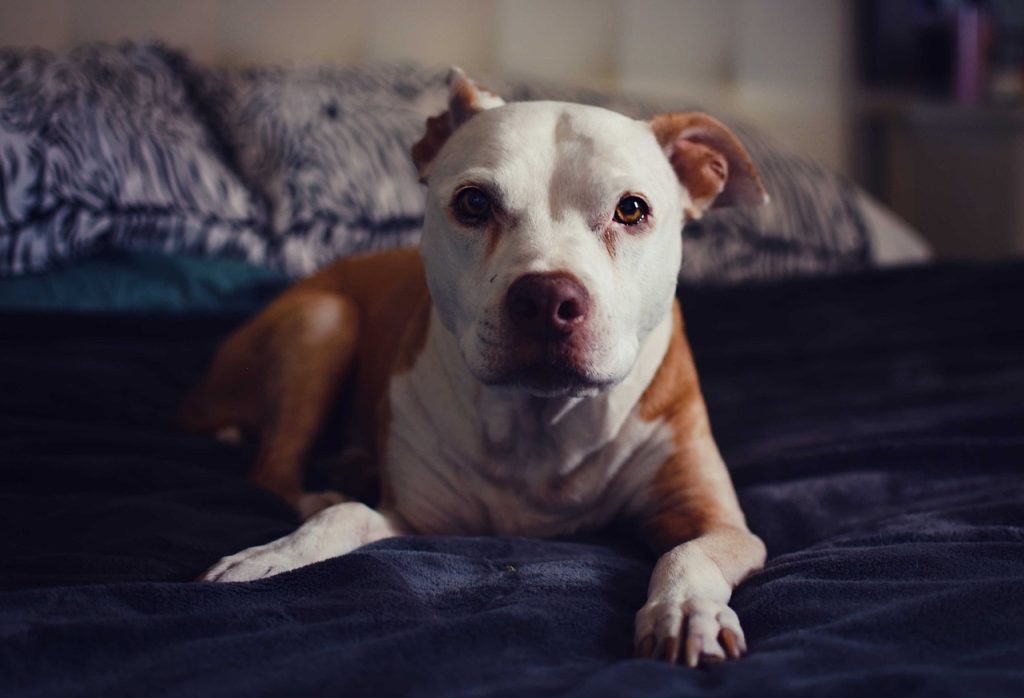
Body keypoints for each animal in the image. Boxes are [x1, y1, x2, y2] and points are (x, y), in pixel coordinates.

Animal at [178, 68, 770, 667]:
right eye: (475, 203)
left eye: (630, 210)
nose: (545, 299)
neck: (538, 423)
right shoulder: (409, 517)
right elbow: (346, 517)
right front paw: (274, 554)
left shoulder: (716, 519)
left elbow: (689, 553)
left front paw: (685, 610)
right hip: (323, 321)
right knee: (273, 469)